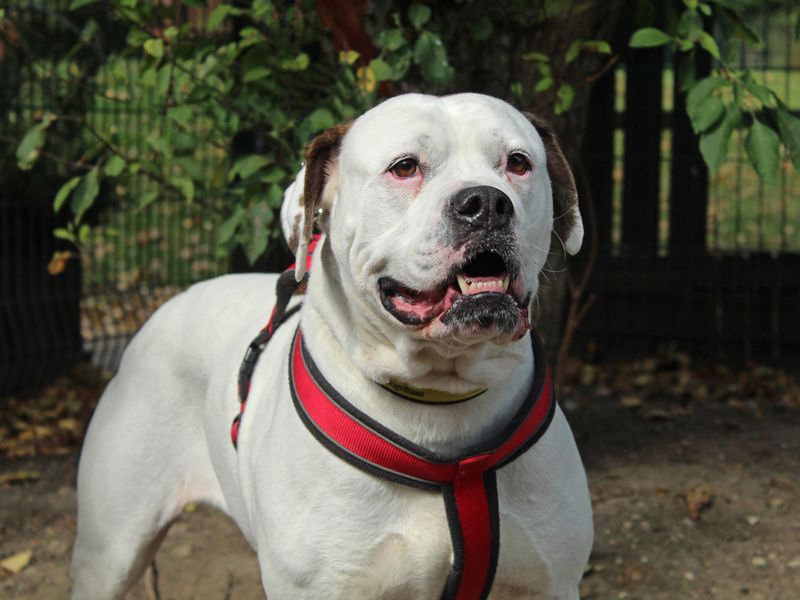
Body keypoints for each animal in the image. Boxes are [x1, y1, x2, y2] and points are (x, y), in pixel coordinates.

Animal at [72, 91, 592, 596]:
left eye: (518, 162)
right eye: (405, 166)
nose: (485, 202)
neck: (441, 401)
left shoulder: (551, 585)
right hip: (109, 552)